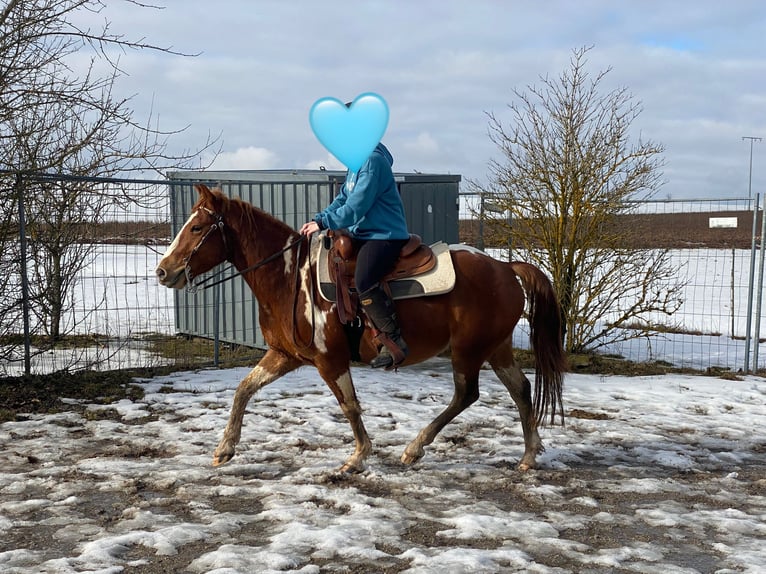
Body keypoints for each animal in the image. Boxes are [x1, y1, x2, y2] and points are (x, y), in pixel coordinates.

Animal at [156, 183, 567, 473]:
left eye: (197, 227)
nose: (163, 272)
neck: (291, 278)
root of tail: (506, 267)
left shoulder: (330, 360)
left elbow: (349, 405)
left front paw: (357, 458)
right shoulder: (283, 356)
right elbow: (243, 390)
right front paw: (225, 448)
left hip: (468, 351)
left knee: (466, 395)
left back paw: (414, 448)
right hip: (496, 348)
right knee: (521, 389)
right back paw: (529, 455)